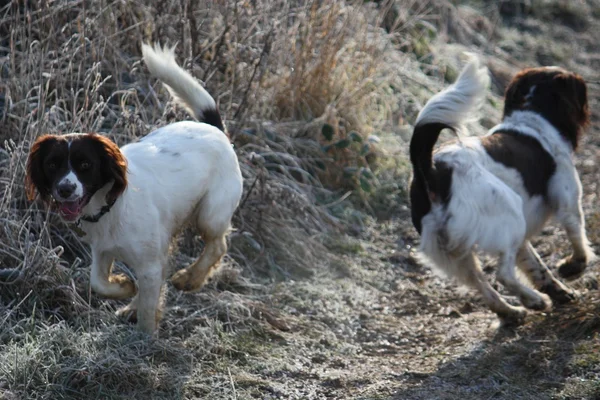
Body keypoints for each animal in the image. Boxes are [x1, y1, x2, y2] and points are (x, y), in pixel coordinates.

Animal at [25, 43, 241, 334]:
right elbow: (99, 283)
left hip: (209, 215)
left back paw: (190, 278)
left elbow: (148, 311)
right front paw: (125, 287)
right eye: (52, 165)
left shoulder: (149, 264)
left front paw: (146, 338)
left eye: (85, 164)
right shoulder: (103, 251)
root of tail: (214, 128)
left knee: (218, 246)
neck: (109, 207)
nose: (65, 189)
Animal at [410, 56, 592, 324]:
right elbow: (579, 240)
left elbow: (537, 266)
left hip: (455, 251)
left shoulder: (523, 239)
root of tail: (432, 170)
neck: (532, 119)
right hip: (510, 214)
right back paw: (534, 301)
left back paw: (513, 310)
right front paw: (571, 268)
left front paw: (560, 291)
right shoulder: (568, 201)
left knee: (481, 283)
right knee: (502, 275)